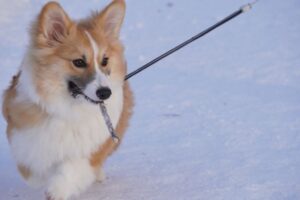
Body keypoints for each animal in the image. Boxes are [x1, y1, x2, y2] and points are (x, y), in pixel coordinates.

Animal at [2, 0, 134, 199]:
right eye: (79, 62)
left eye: (104, 61)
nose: (105, 93)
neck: (70, 107)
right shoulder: (24, 135)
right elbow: (30, 169)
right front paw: (41, 179)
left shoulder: (91, 147)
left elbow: (71, 168)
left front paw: (56, 190)